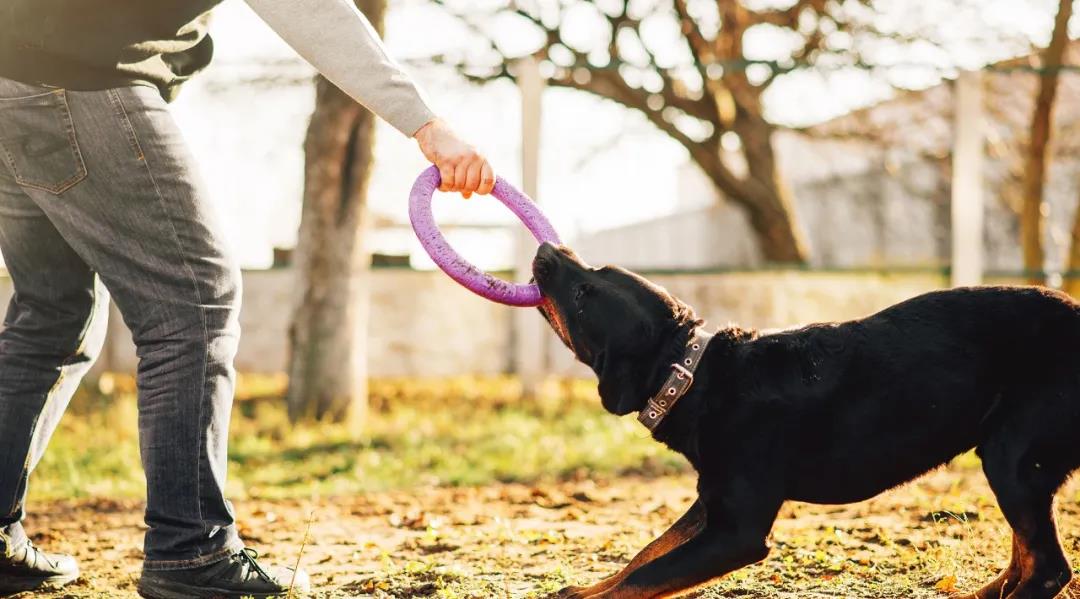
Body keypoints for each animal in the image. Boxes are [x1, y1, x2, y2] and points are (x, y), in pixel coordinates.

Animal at [529, 243, 1080, 599]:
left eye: (582, 295)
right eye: (593, 267)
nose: (547, 249)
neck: (694, 374)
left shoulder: (737, 530)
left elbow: (645, 576)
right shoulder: (712, 503)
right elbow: (643, 556)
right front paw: (583, 588)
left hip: (1013, 458)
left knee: (1048, 569)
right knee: (1024, 558)